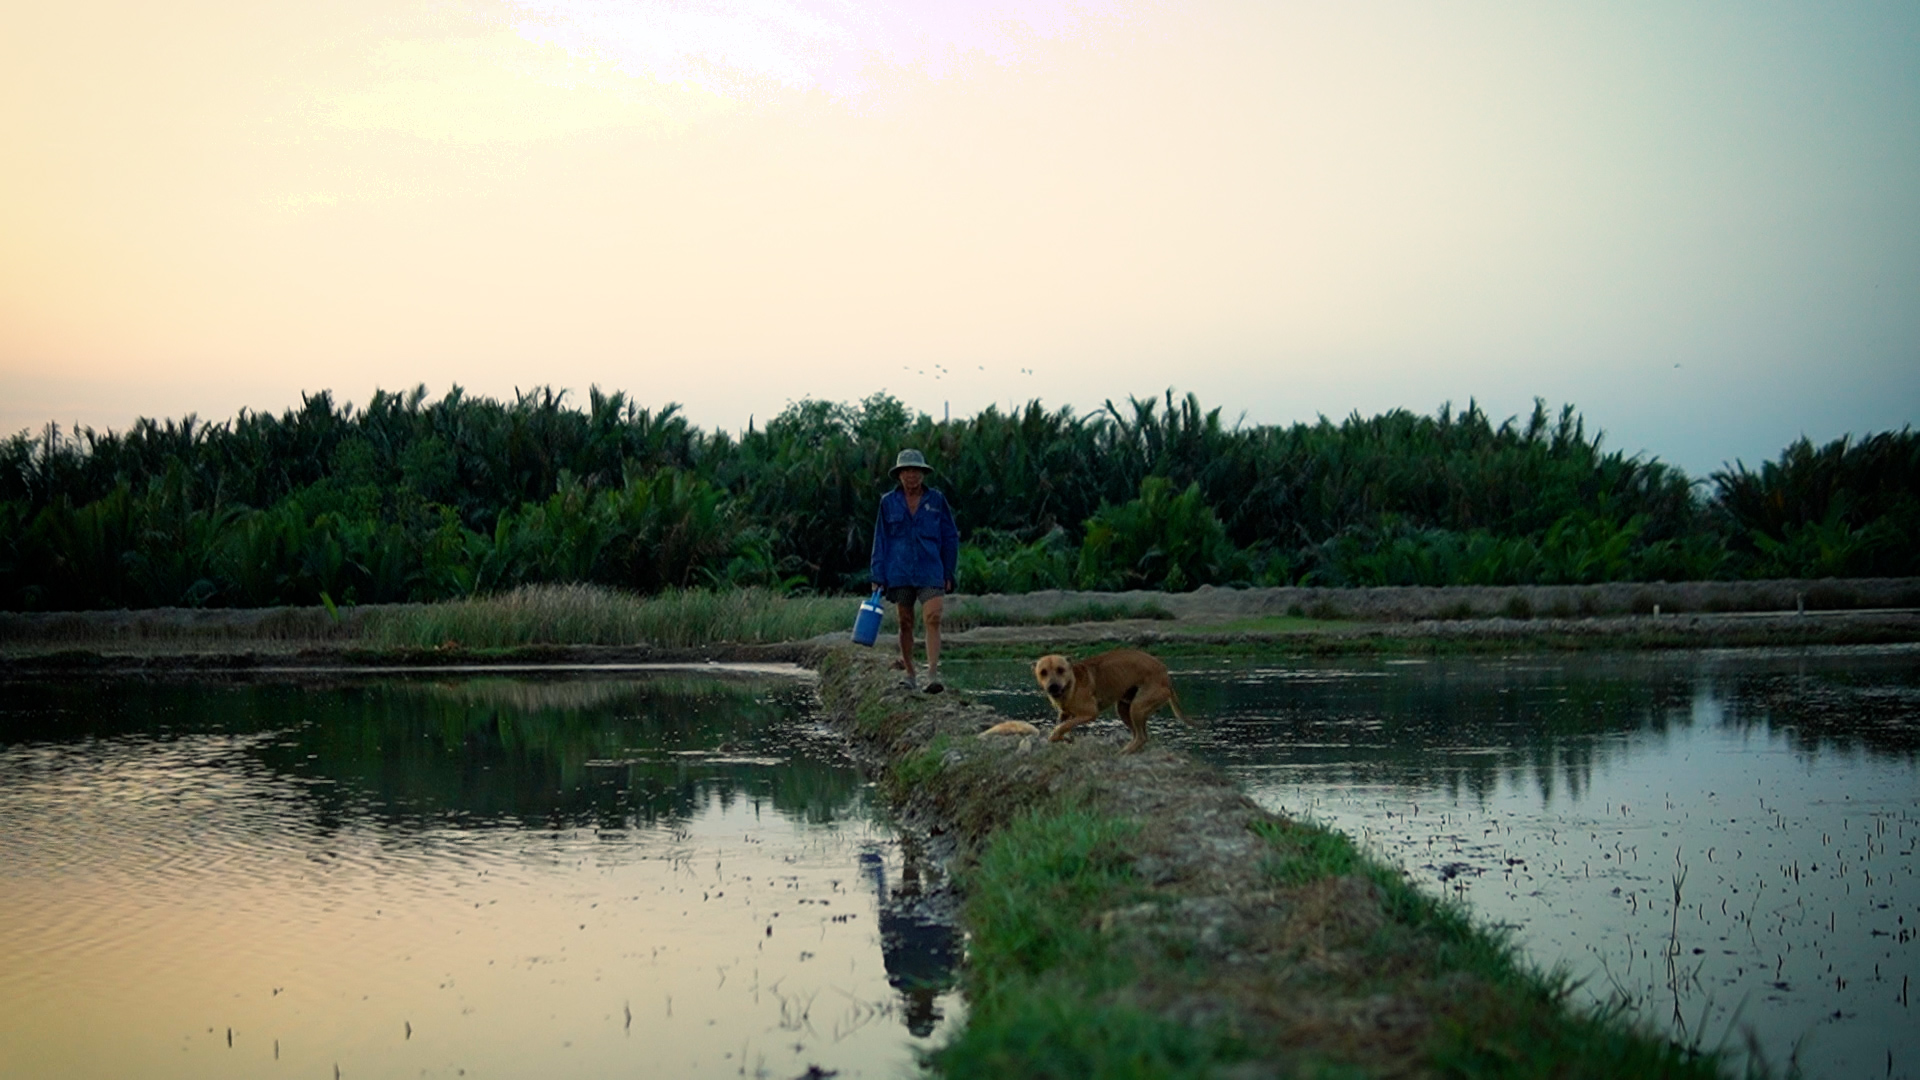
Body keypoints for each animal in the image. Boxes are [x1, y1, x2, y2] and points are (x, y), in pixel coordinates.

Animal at [1036, 641, 1182, 753]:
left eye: (1060, 670)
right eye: (1043, 672)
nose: (1053, 687)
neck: (1072, 684)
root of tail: (1165, 674)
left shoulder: (1089, 713)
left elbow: (1062, 727)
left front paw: (1059, 735)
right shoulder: (1064, 714)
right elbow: (1061, 727)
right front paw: (1064, 738)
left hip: (1137, 707)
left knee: (1141, 737)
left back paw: (1123, 753)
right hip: (1124, 708)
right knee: (1139, 735)